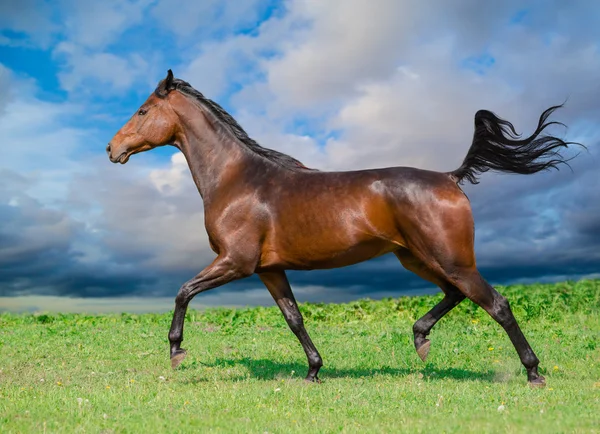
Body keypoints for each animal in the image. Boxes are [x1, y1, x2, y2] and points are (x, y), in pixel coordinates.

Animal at [106, 70, 576, 386]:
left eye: (143, 110)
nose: (112, 149)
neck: (239, 179)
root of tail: (451, 177)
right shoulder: (268, 269)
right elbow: (294, 318)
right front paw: (314, 371)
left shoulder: (235, 262)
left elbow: (183, 291)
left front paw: (176, 351)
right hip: (417, 259)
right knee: (456, 295)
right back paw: (420, 339)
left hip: (450, 259)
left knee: (496, 304)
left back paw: (533, 373)